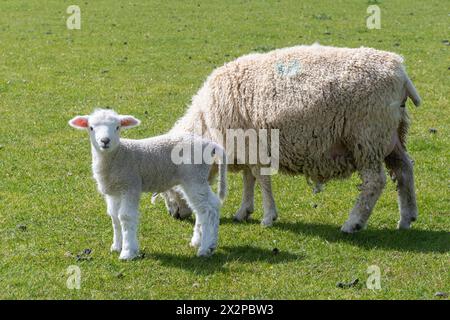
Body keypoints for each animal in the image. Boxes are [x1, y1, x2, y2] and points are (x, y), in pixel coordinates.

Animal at [68, 109, 227, 258]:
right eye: (91, 128)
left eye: (118, 127)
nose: (105, 141)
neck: (119, 156)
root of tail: (210, 144)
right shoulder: (114, 192)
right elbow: (114, 216)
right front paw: (116, 246)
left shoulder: (131, 185)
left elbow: (125, 216)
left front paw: (127, 252)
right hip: (195, 178)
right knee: (207, 206)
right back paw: (204, 242)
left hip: (194, 177)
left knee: (207, 209)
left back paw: (205, 248)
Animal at [160, 43, 420, 232]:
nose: (174, 215)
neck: (205, 125)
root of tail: (399, 70)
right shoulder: (246, 147)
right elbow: (249, 179)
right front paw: (244, 211)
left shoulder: (251, 145)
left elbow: (260, 179)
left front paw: (267, 217)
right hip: (392, 136)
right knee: (404, 170)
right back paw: (406, 219)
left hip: (367, 137)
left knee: (374, 182)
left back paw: (353, 222)